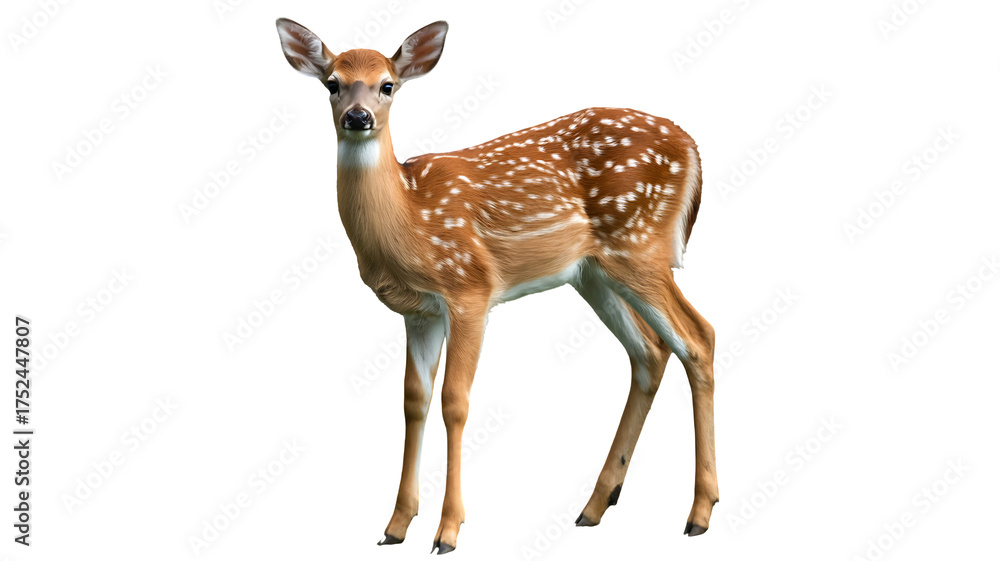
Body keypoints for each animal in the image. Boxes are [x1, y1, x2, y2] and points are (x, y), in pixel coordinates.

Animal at [276, 18, 719, 554]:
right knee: (651, 350)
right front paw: (395, 526)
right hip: (594, 273)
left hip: (640, 246)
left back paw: (699, 513)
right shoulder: (419, 313)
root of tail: (693, 147)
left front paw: (447, 531)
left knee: (698, 336)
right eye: (332, 84)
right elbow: (413, 401)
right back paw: (595, 506)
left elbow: (455, 401)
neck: (410, 218)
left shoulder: (469, 289)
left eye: (388, 85)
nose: (358, 117)